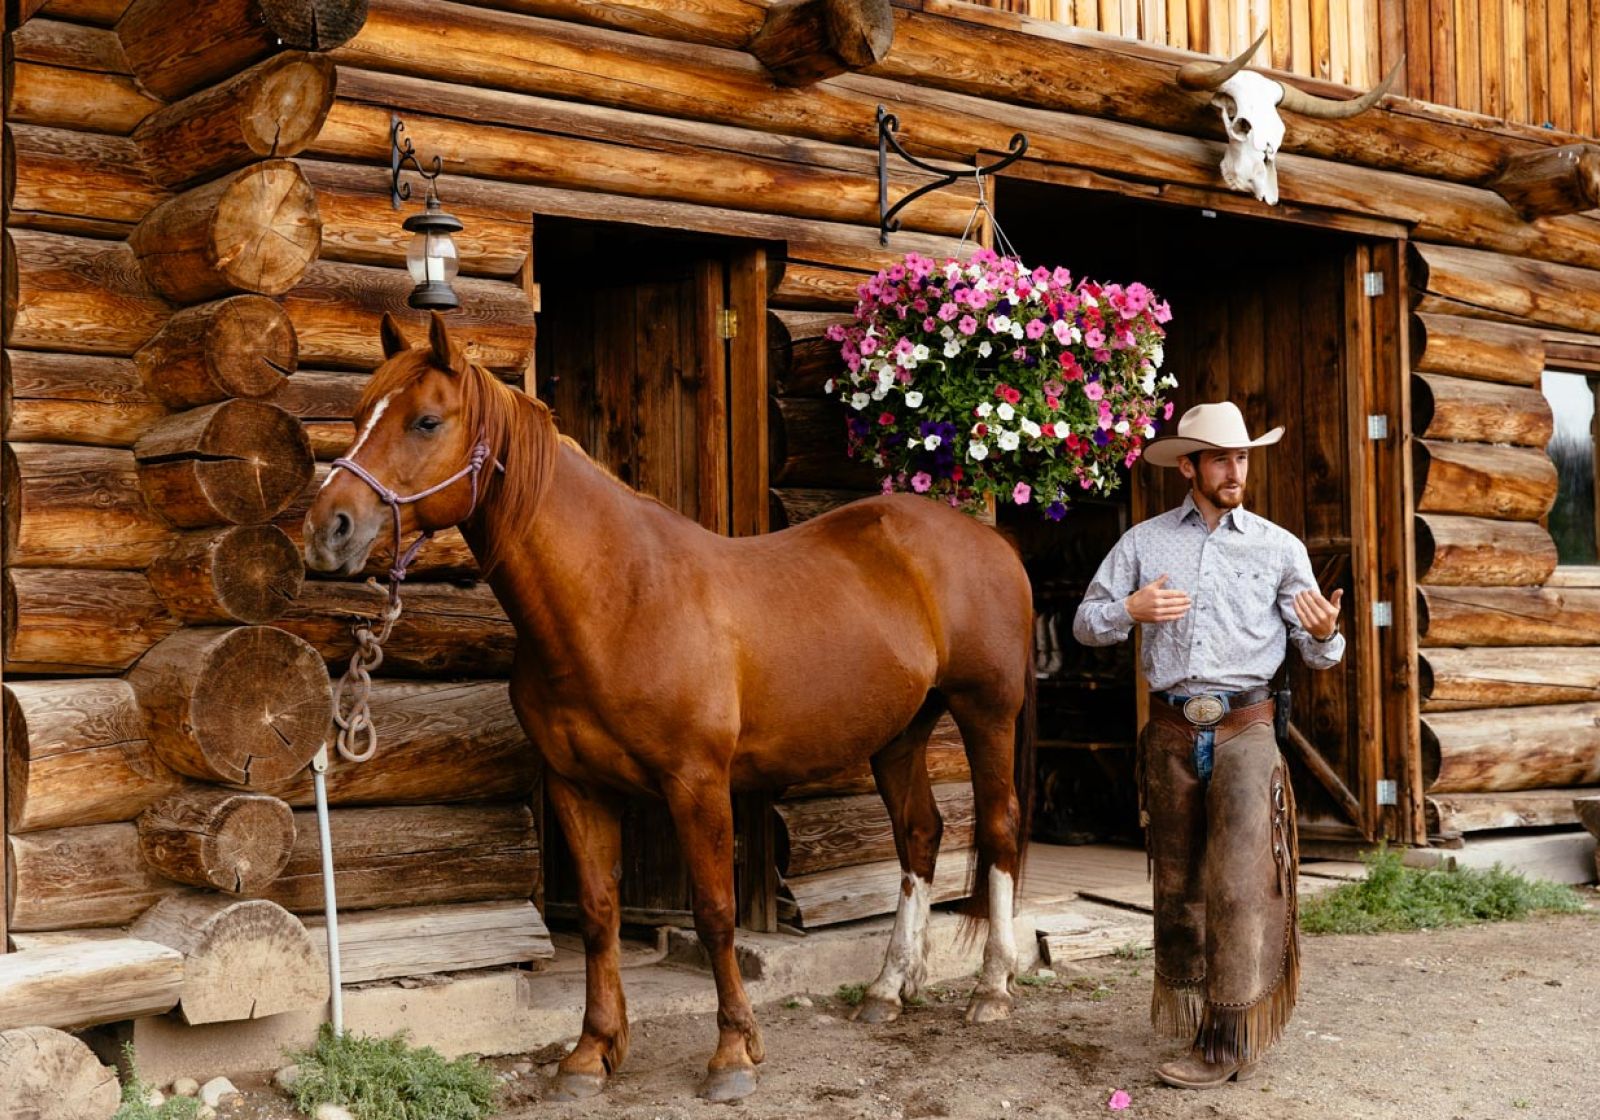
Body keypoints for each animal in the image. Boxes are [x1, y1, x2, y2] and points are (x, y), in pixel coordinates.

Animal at [303, 311, 1036, 1102]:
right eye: (357, 415)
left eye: (427, 421)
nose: (327, 528)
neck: (617, 596)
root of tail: (988, 538)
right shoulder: (577, 787)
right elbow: (598, 916)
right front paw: (591, 1052)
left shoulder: (697, 783)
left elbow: (715, 914)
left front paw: (734, 1053)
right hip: (900, 731)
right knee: (919, 836)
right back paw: (887, 991)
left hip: (985, 712)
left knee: (997, 827)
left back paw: (992, 989)